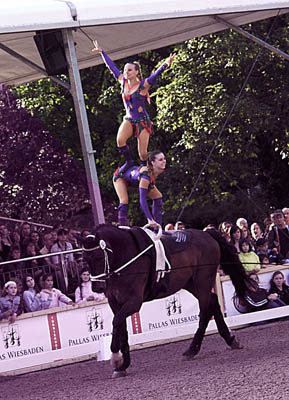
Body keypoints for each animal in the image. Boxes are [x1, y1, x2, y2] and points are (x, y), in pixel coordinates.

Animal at [82, 227, 249, 376]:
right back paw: (229, 340)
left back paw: (192, 350)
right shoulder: (115, 303)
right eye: (85, 259)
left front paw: (116, 359)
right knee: (213, 302)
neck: (125, 257)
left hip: (202, 282)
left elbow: (117, 322)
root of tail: (207, 233)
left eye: (98, 257)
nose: (97, 287)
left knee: (205, 313)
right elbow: (121, 328)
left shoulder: (134, 302)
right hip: (191, 284)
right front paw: (122, 366)